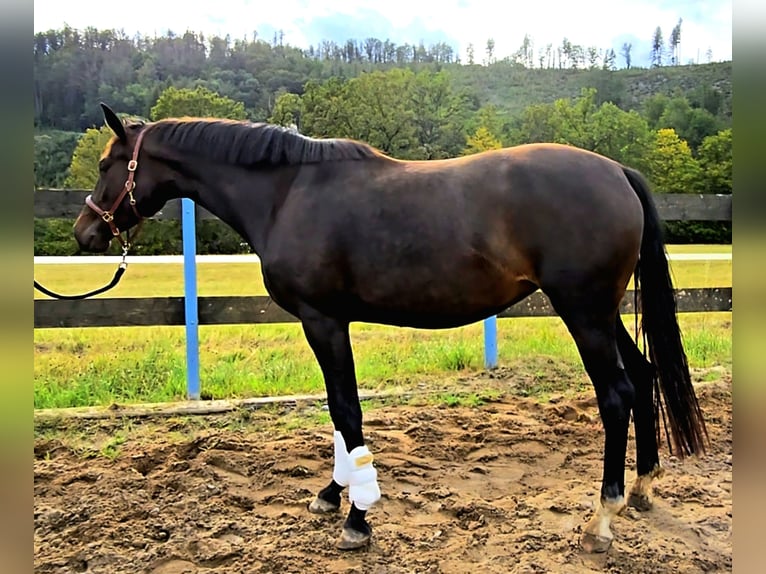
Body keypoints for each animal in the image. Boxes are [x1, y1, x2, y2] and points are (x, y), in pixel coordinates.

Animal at [73, 103, 708, 552]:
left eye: (107, 166)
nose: (86, 232)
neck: (287, 192)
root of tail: (617, 171)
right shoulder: (329, 322)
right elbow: (338, 411)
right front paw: (332, 494)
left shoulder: (323, 320)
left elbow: (347, 410)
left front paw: (357, 518)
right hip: (600, 310)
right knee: (644, 375)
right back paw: (643, 489)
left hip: (583, 310)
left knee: (617, 393)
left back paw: (602, 518)